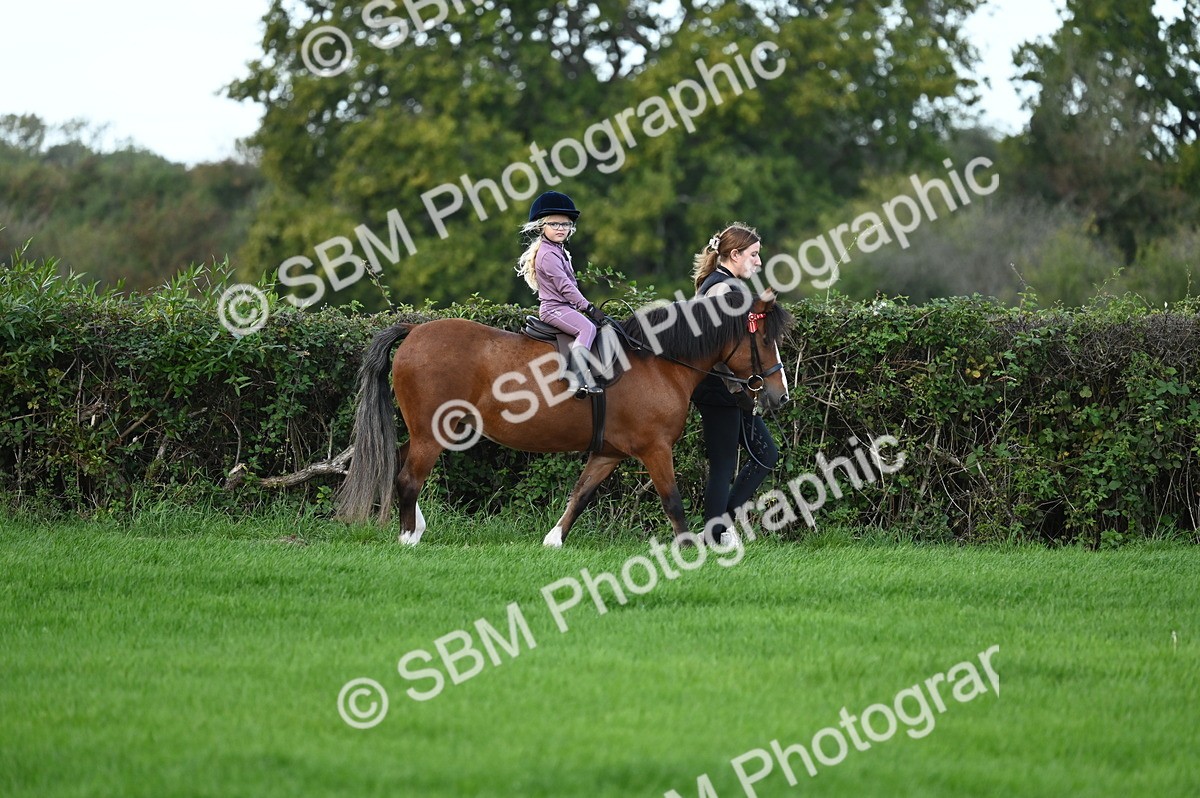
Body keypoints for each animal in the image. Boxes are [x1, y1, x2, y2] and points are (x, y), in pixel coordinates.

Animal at [336, 291, 793, 546]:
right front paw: (687, 548)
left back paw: (416, 528)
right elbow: (673, 501)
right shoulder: (655, 450)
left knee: (399, 464)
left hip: (428, 432)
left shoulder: (608, 453)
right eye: (764, 341)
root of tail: (414, 331)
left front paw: (554, 540)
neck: (656, 362)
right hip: (433, 434)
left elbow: (581, 494)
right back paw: (407, 538)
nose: (779, 395)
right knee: (409, 477)